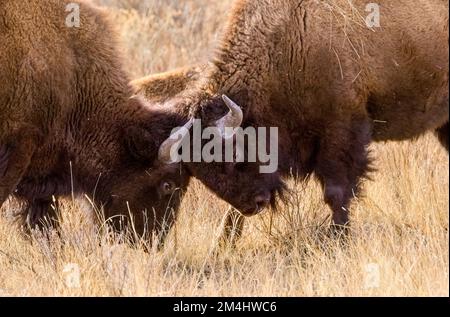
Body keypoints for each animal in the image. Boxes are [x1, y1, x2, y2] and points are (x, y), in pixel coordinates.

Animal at [134, 0, 450, 232]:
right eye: (199, 174)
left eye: (233, 156)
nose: (255, 204)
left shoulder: (341, 129)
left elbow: (336, 192)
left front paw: (339, 237)